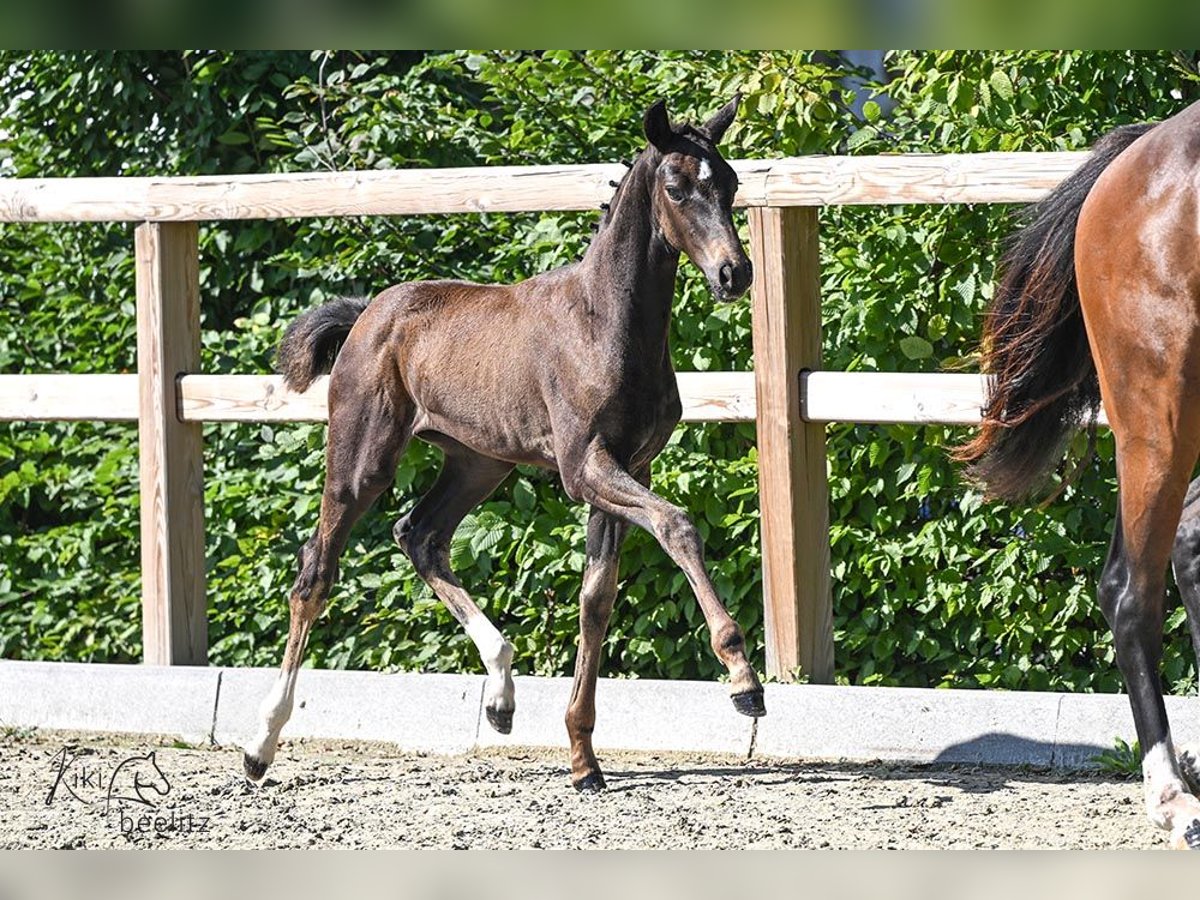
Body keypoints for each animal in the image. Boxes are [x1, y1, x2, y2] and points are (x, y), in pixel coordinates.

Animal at [243, 95, 763, 792]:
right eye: (678, 188)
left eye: (730, 184)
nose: (734, 273)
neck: (605, 325)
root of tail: (366, 316)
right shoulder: (584, 466)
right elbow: (677, 527)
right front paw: (743, 681)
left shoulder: (630, 467)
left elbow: (596, 598)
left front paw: (583, 758)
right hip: (361, 462)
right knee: (315, 575)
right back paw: (260, 745)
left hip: (477, 463)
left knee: (419, 535)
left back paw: (500, 695)